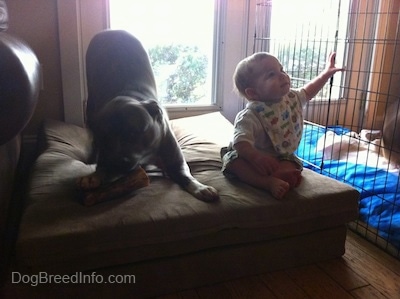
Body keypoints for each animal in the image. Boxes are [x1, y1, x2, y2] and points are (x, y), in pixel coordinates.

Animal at [77, 30, 219, 203]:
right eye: (104, 138)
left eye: (133, 133)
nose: (115, 163)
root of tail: (110, 31)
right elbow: (101, 167)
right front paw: (94, 176)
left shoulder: (175, 161)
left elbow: (185, 175)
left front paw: (200, 187)